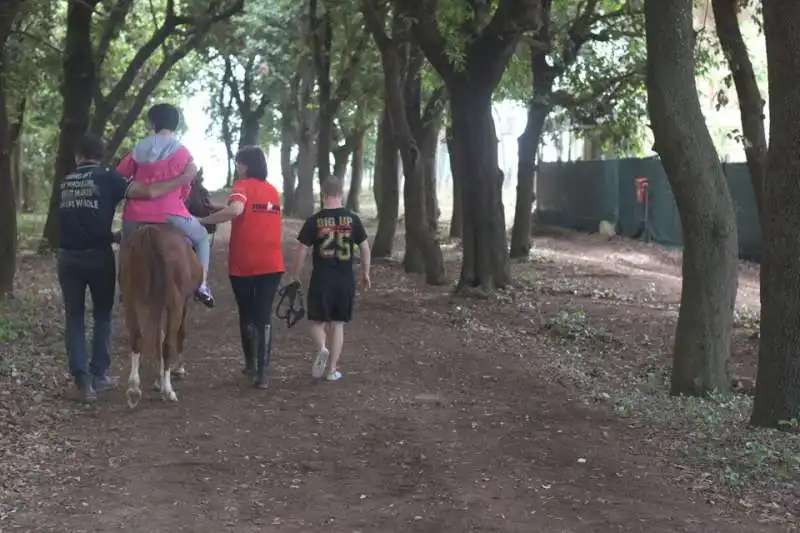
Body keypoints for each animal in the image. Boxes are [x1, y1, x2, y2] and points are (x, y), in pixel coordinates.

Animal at [122, 222, 203, 406]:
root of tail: (150, 234)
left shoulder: (155, 305)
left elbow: (157, 337)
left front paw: (157, 379)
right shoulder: (182, 302)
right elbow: (178, 334)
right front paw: (178, 369)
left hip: (132, 300)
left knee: (137, 339)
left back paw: (134, 388)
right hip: (174, 304)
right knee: (167, 343)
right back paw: (168, 390)